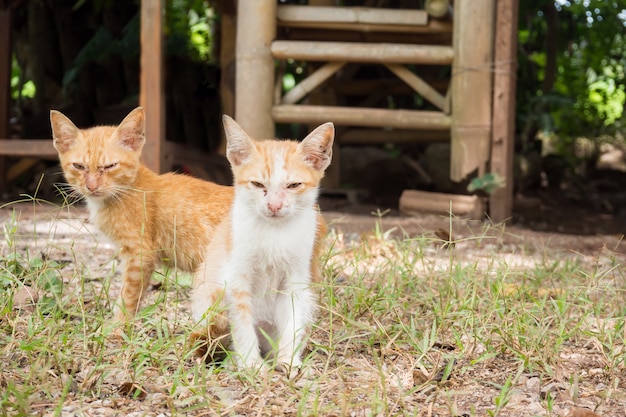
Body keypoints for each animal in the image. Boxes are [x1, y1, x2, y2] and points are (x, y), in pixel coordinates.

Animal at [50, 106, 233, 322]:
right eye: (79, 166)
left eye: (110, 166)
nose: (91, 186)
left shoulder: (139, 254)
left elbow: (128, 298)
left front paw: (116, 326)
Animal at [190, 115, 332, 372]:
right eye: (257, 184)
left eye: (293, 185)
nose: (274, 205)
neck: (274, 233)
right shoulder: (237, 277)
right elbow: (242, 321)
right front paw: (250, 364)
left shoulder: (297, 279)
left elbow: (293, 319)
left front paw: (288, 359)